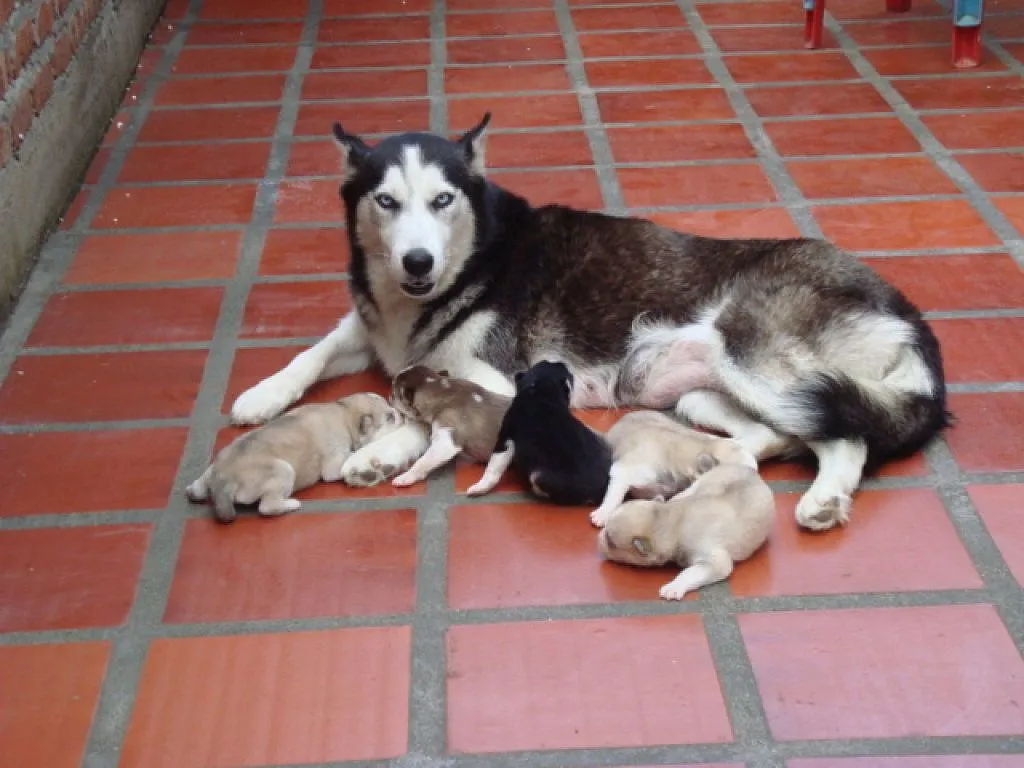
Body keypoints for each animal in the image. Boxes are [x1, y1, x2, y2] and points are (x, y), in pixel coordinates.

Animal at [186, 393, 401, 528]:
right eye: (390, 417)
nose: (399, 413)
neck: (344, 411)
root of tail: (222, 478)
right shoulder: (334, 464)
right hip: (283, 471)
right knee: (267, 507)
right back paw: (291, 504)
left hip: (209, 471)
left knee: (195, 489)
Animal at [466, 360, 610, 505]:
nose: (562, 362)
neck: (540, 391)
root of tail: (600, 492)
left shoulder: (506, 436)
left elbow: (494, 467)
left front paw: (480, 487)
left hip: (539, 476)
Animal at [598, 462, 770, 602]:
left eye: (610, 541)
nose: (598, 537)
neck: (670, 522)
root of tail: (752, 471)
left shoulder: (715, 563)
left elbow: (689, 573)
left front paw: (673, 587)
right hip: (695, 486)